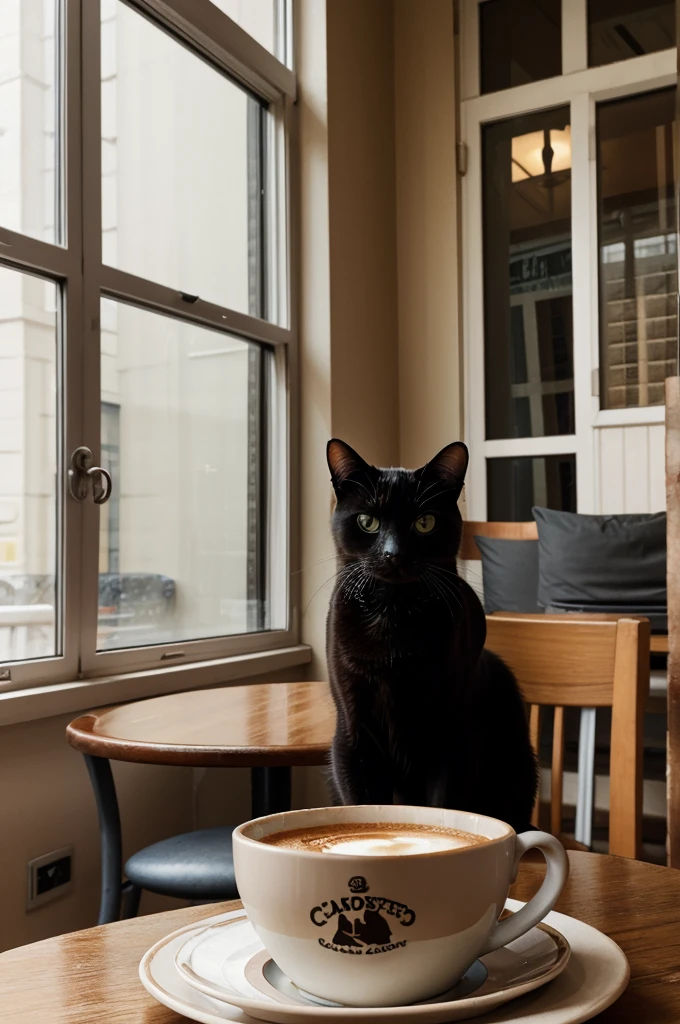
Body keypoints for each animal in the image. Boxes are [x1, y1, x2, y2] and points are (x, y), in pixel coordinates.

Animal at [327, 438, 540, 831]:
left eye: (424, 523)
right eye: (368, 521)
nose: (394, 554)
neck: (392, 617)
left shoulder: (452, 735)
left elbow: (444, 805)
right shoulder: (353, 734)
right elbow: (362, 801)